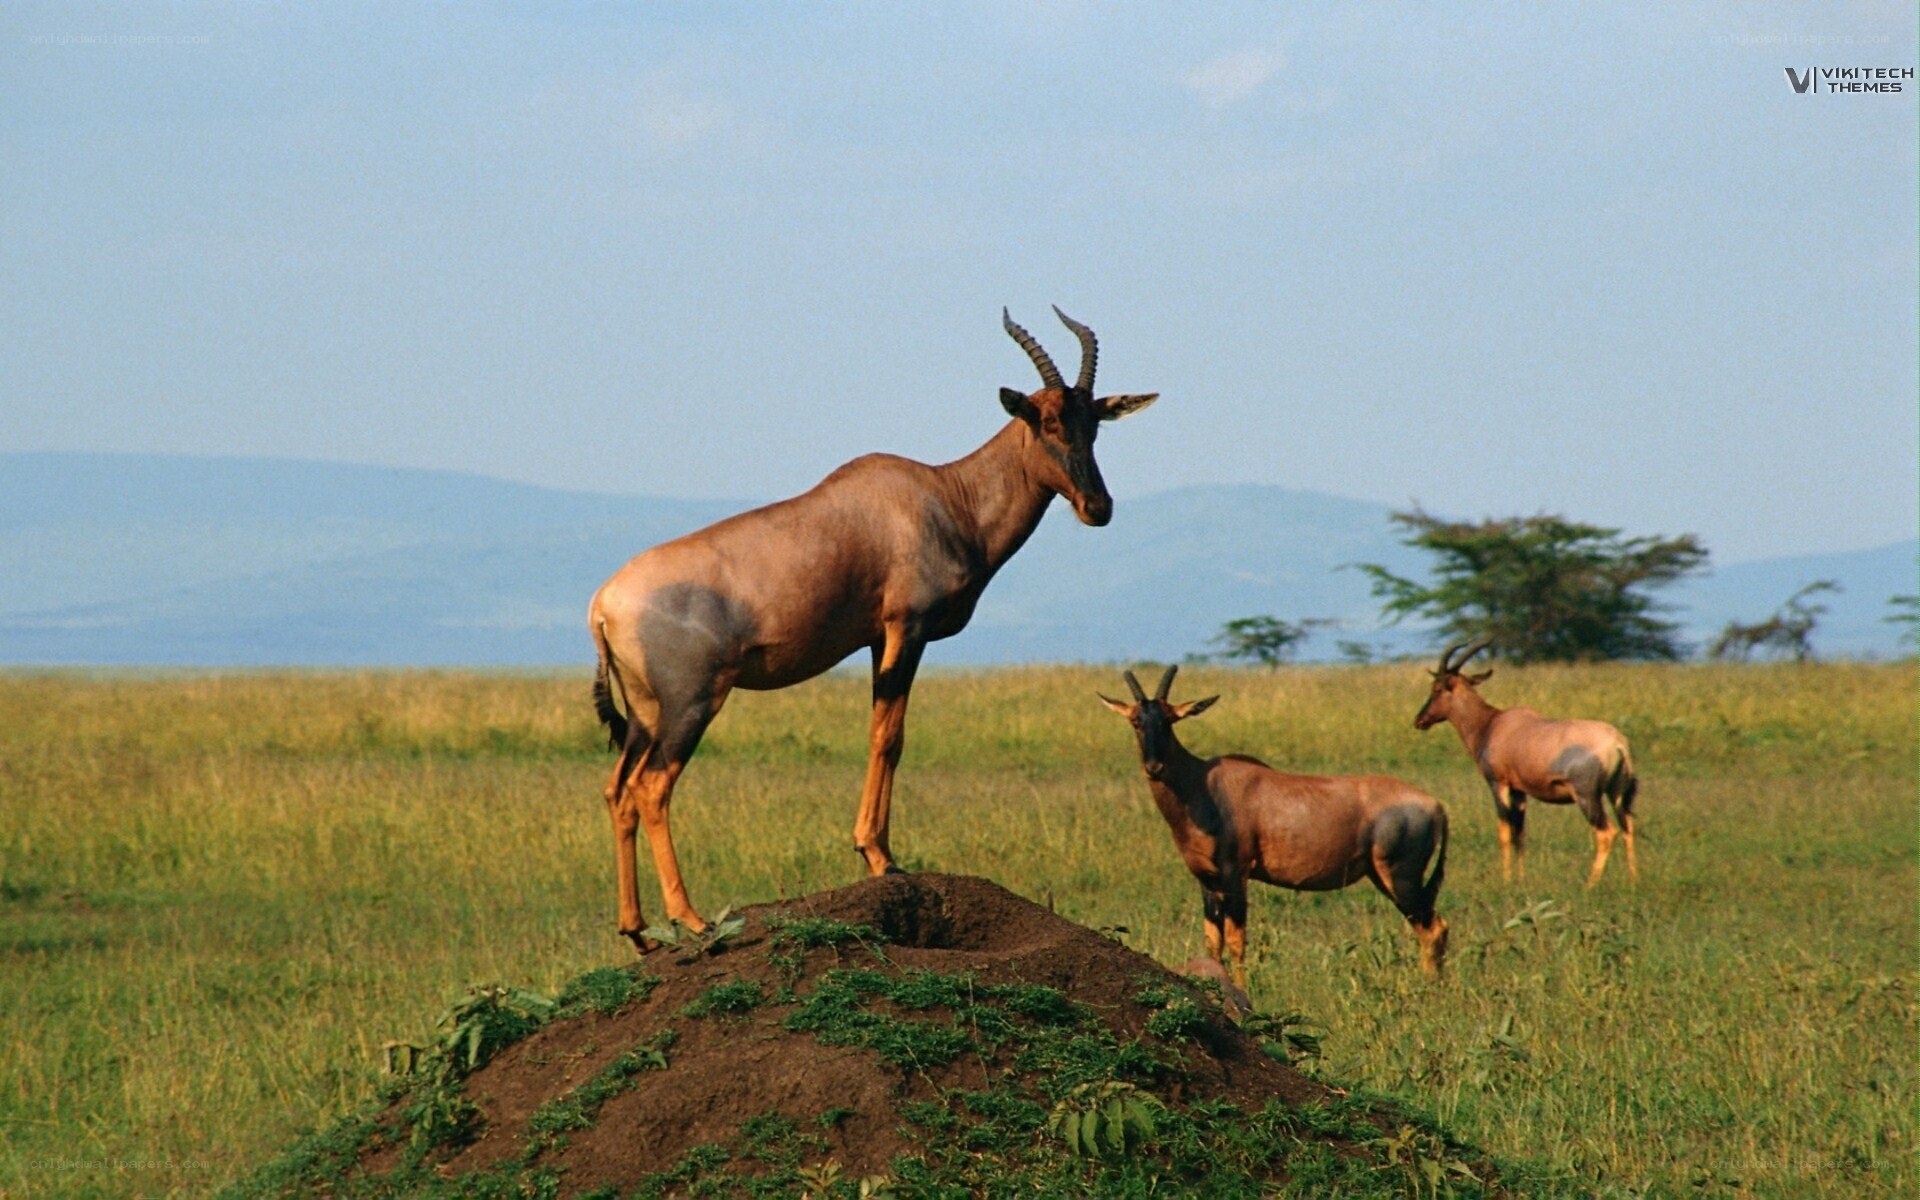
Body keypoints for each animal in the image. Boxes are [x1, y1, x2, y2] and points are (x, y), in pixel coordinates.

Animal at [589, 309, 1159, 953]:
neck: (943, 496)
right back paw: (692, 918)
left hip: (645, 713)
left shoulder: (874, 640)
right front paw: (880, 857)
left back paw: (637, 931)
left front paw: (879, 852)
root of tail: (603, 604)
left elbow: (883, 732)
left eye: (1094, 424)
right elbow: (890, 736)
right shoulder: (906, 629)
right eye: (1048, 422)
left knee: (618, 791)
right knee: (652, 789)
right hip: (692, 703)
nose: (1098, 507)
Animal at [1100, 667, 1451, 980]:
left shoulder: (1235, 875)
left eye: (1170, 719)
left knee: (1432, 928)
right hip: (1383, 877)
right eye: (1136, 721)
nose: (1154, 768)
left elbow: (1237, 941)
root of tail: (1435, 806)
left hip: (1401, 877)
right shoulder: (1207, 881)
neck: (1204, 784)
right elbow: (1213, 943)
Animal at [1413, 639, 1638, 886]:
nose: (1419, 720)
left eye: (1437, 688)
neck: (1493, 724)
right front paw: (1520, 879)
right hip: (1616, 793)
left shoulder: (1498, 784)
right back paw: (1633, 880)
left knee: (1606, 833)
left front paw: (1505, 880)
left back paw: (1590, 885)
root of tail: (1617, 743)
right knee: (1628, 826)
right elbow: (1519, 833)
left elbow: (1504, 831)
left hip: (1587, 797)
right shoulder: (1519, 791)